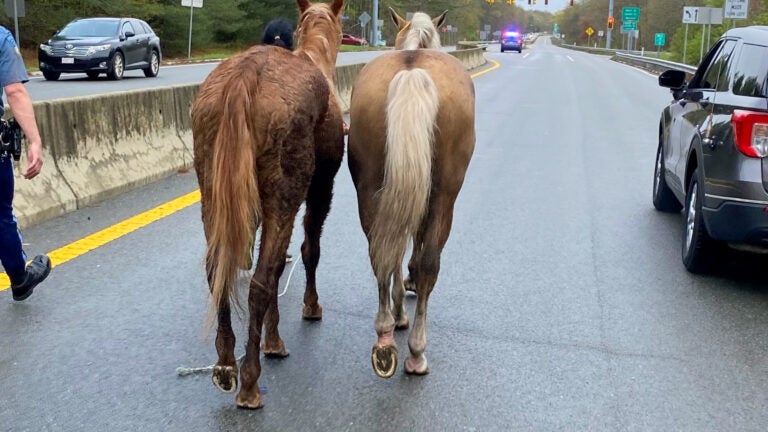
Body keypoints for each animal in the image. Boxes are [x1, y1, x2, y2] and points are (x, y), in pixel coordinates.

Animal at [191, 0, 345, 409]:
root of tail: (245, 78)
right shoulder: (321, 187)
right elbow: (307, 251)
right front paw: (303, 313)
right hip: (285, 191)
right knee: (261, 279)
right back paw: (249, 381)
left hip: (213, 191)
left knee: (218, 269)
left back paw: (226, 364)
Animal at [347, 8, 476, 378]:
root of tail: (411, 71)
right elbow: (418, 253)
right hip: (445, 195)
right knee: (429, 262)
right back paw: (416, 350)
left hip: (369, 187)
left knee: (380, 252)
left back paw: (385, 335)